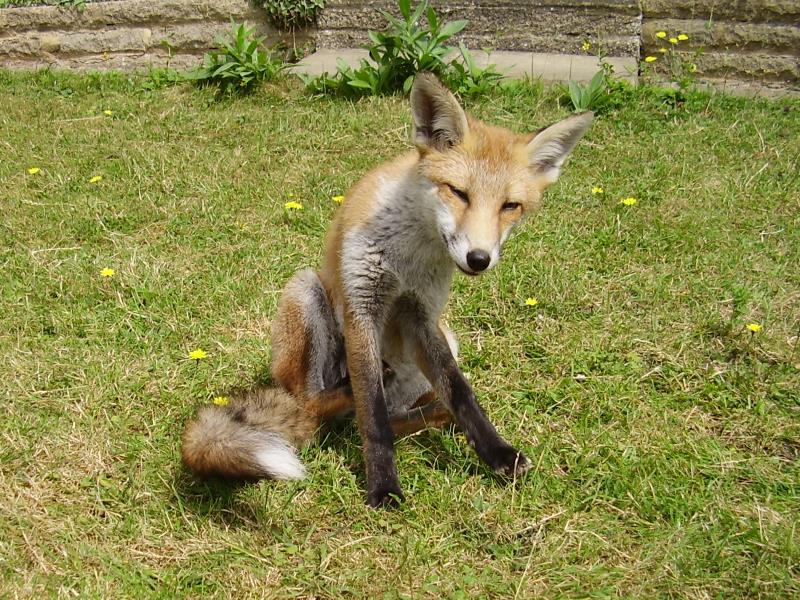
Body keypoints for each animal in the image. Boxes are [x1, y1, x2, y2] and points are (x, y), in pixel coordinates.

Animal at [183, 72, 592, 508]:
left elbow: (460, 393)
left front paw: (496, 451)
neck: (410, 256)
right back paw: (343, 396)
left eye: (509, 206)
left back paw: (429, 416)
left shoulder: (422, 317)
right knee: (318, 407)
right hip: (306, 294)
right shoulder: (362, 306)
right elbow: (374, 418)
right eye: (458, 192)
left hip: (445, 339)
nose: (478, 258)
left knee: (391, 417)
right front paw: (383, 484)